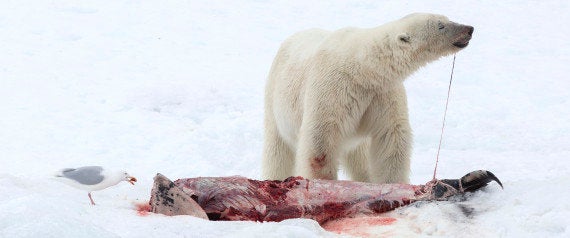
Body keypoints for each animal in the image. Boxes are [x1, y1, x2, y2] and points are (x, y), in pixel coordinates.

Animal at [260, 13, 470, 183]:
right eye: (440, 25)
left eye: (447, 18)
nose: (469, 29)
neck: (363, 69)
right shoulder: (332, 89)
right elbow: (320, 142)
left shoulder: (382, 93)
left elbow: (391, 137)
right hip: (275, 97)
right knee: (277, 151)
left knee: (359, 158)